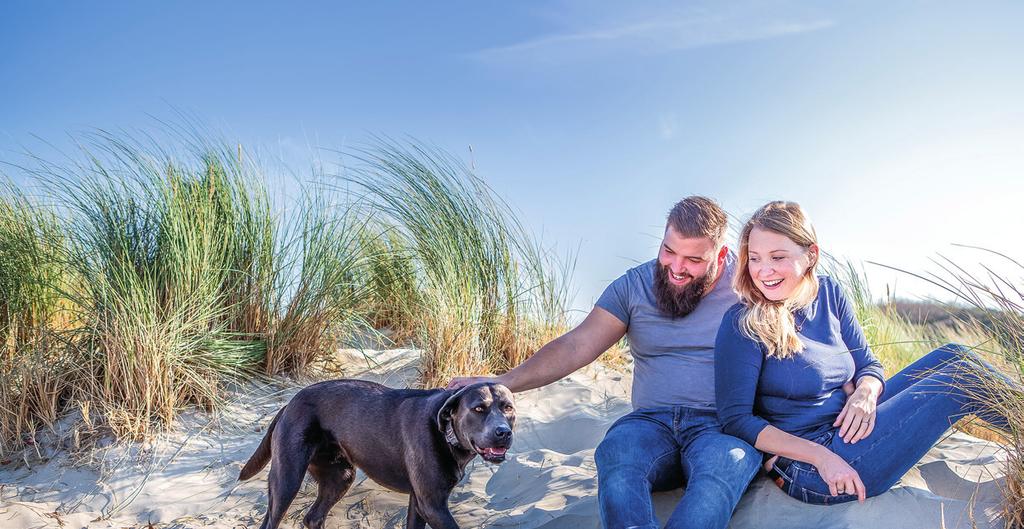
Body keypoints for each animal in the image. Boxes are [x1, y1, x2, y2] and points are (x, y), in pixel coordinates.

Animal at [236, 380, 516, 527]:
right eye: (478, 408)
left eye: (508, 408)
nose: (503, 432)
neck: (445, 431)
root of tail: (289, 403)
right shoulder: (433, 504)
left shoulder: (420, 502)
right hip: (287, 480)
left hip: (340, 477)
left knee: (313, 517)